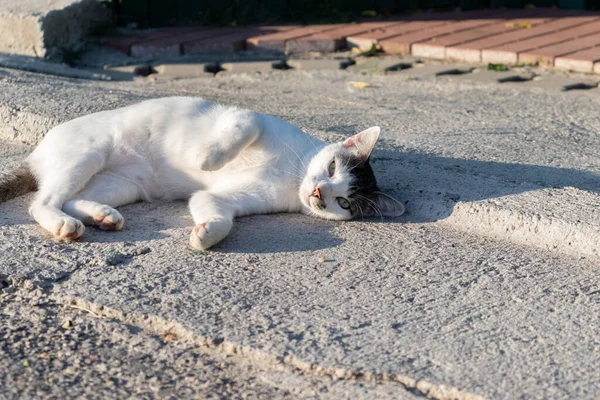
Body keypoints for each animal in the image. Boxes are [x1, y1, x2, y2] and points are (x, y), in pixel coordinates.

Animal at [0, 95, 406, 248]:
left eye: (344, 203)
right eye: (332, 166)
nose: (319, 195)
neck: (292, 176)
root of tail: (38, 151)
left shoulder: (222, 198)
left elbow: (216, 211)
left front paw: (206, 234)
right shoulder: (249, 118)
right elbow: (243, 128)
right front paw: (208, 159)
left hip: (121, 184)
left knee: (70, 199)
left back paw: (101, 216)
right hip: (89, 154)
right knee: (43, 202)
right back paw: (63, 224)